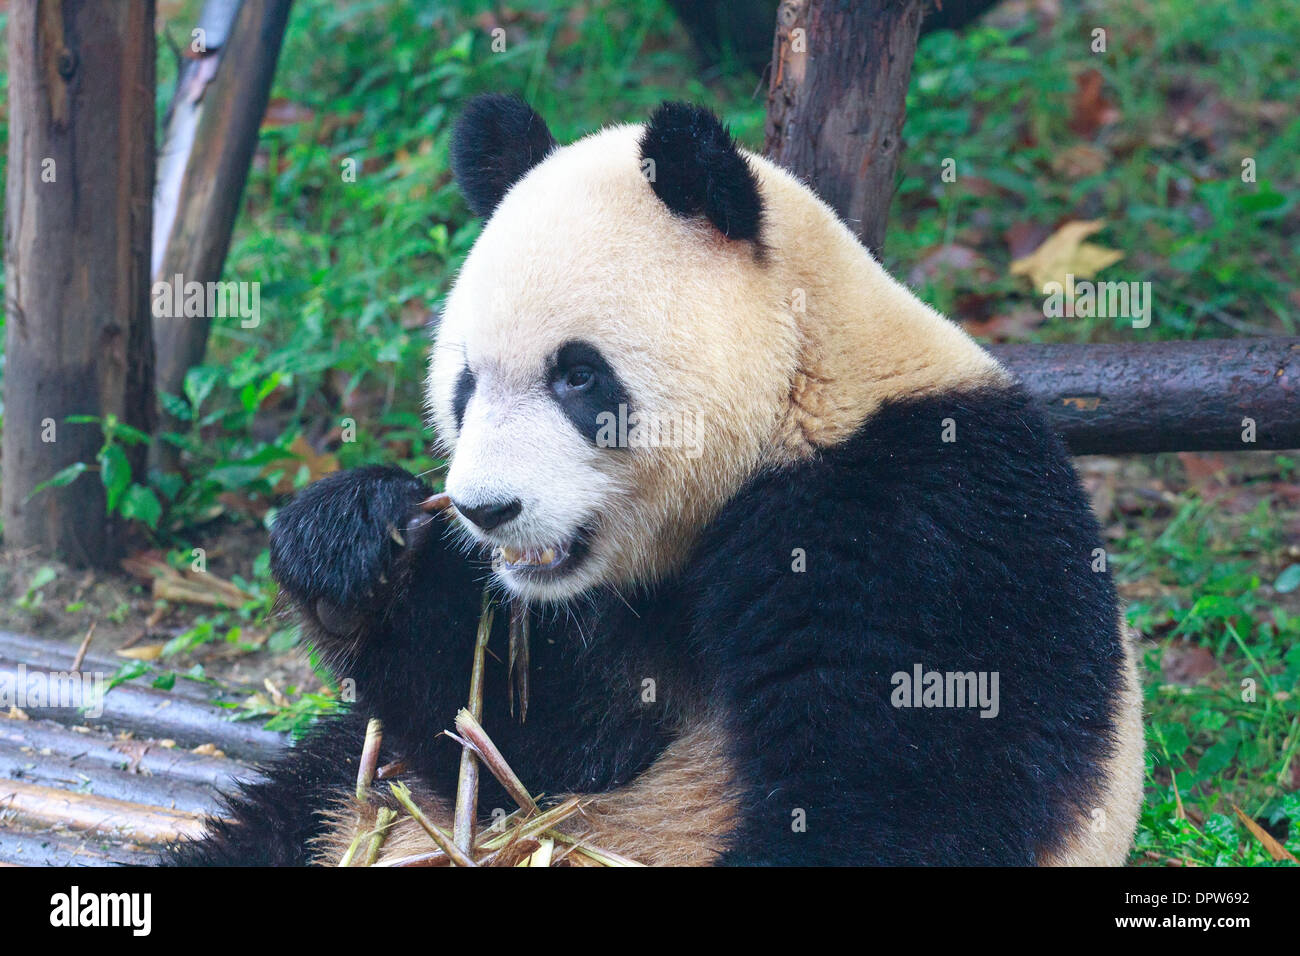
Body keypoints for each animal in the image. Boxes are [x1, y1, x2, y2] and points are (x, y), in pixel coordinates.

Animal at [167, 95, 1144, 868]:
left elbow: (899, 795)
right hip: (334, 799)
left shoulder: (920, 519)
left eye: (578, 377)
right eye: (465, 382)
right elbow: (536, 754)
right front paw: (352, 542)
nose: (488, 511)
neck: (800, 396)